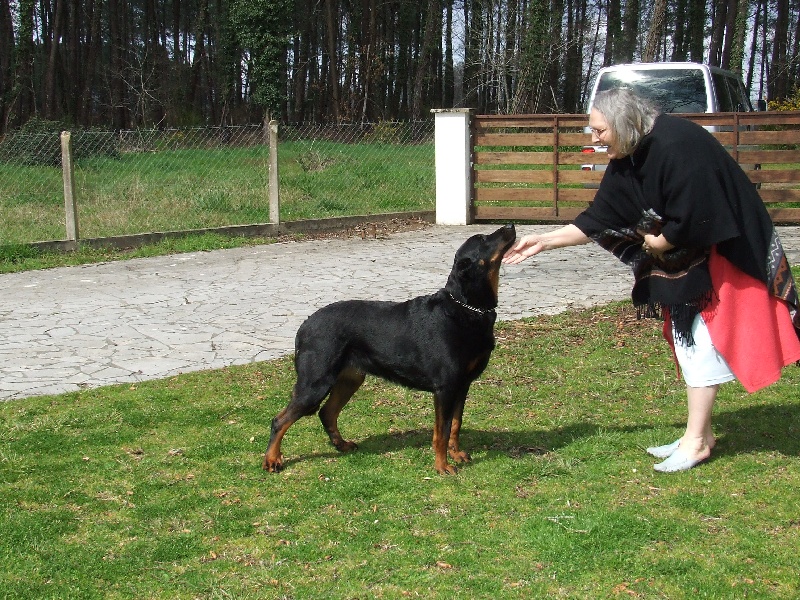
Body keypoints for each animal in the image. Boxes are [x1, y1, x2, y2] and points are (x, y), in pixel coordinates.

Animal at [260, 223, 516, 476]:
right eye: (483, 239)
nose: (511, 225)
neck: (467, 308)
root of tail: (303, 326)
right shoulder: (445, 387)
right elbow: (441, 431)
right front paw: (442, 466)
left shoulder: (462, 385)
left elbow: (455, 425)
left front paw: (456, 455)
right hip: (315, 383)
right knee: (280, 420)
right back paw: (272, 460)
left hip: (349, 379)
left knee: (327, 413)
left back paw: (341, 445)